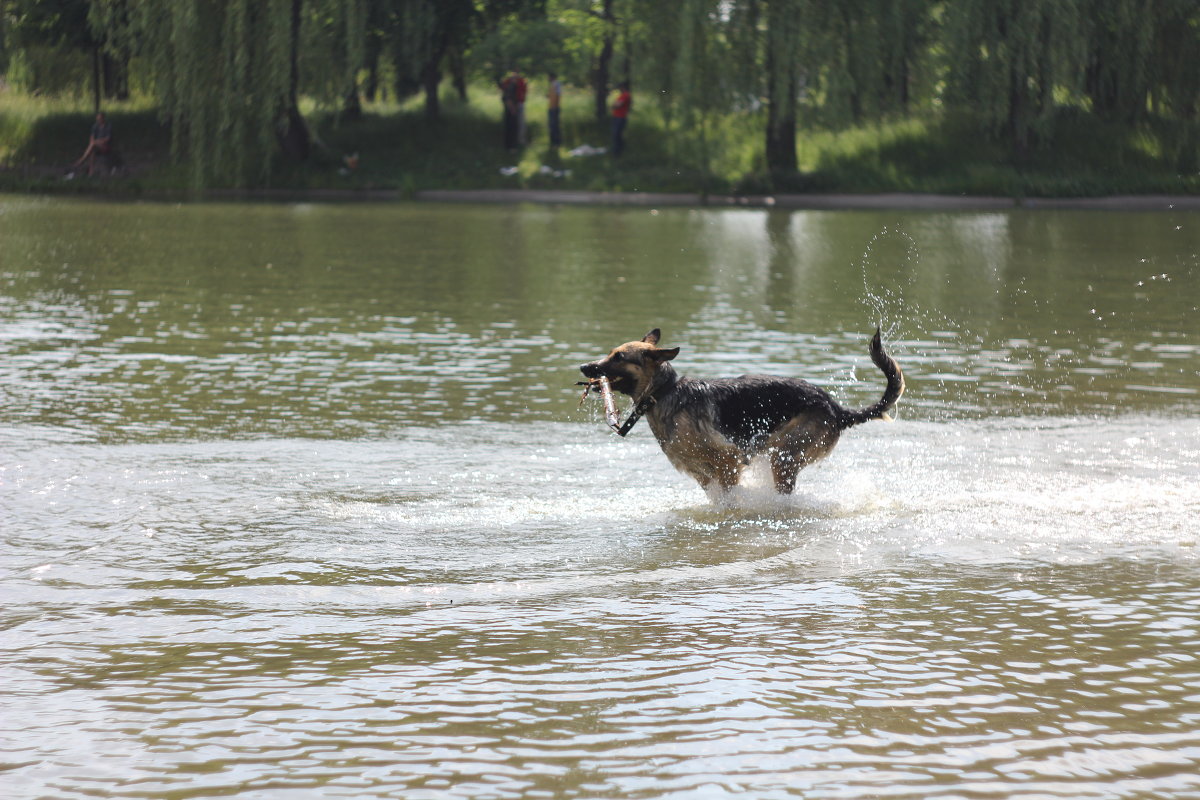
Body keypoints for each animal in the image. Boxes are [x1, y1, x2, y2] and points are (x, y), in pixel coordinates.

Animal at [578, 326, 902, 494]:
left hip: (783, 456)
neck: (665, 393)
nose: (584, 367)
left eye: (618, 357)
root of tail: (836, 408)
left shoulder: (728, 462)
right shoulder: (704, 476)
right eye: (610, 353)